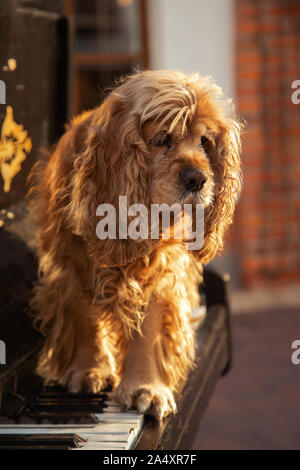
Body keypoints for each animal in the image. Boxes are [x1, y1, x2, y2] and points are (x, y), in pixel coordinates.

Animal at [28, 70, 241, 422]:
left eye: (205, 142)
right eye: (163, 138)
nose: (198, 179)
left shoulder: (161, 269)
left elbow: (149, 324)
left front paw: (145, 388)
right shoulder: (73, 260)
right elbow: (84, 312)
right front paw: (88, 369)